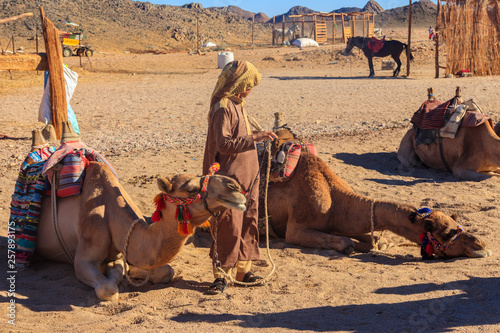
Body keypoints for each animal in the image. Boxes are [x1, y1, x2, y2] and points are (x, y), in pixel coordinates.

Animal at [34, 161, 246, 300]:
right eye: (192, 189)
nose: (235, 186)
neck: (109, 208)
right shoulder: (86, 252)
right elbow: (108, 289)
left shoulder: (123, 251)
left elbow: (164, 271)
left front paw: (132, 272)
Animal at [264, 126, 490, 258]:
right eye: (445, 234)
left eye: (458, 225)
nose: (480, 244)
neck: (335, 201)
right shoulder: (295, 230)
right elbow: (347, 242)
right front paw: (350, 246)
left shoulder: (339, 221)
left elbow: (375, 239)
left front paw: (375, 243)